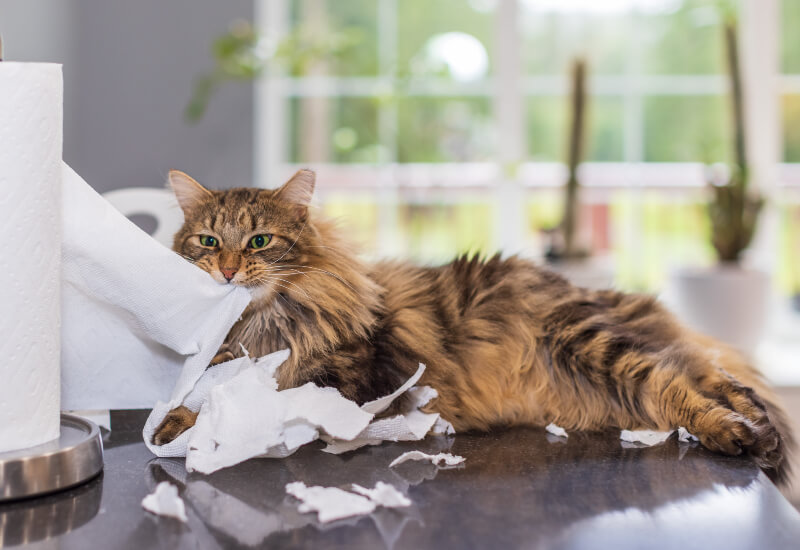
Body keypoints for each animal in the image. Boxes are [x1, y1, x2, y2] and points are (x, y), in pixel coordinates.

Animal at [152, 167, 792, 484]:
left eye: (260, 241)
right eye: (207, 241)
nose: (227, 269)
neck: (258, 324)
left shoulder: (342, 384)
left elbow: (252, 399)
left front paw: (182, 430)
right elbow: (199, 399)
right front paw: (170, 426)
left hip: (593, 345)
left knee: (680, 382)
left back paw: (743, 434)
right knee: (708, 373)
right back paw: (757, 421)